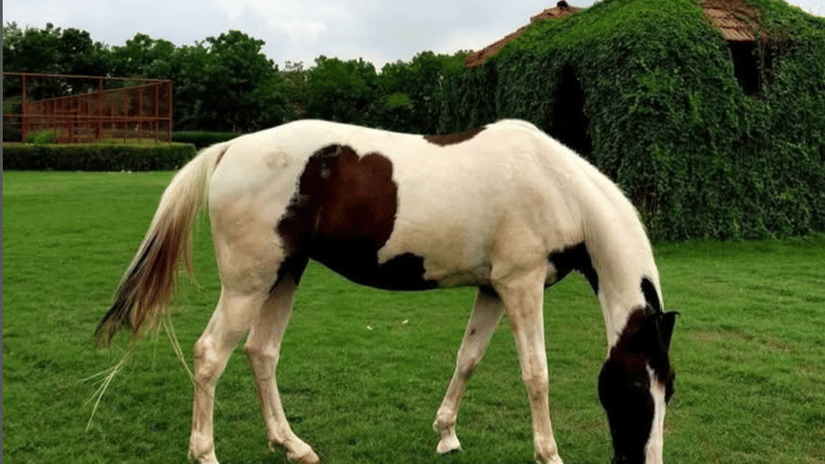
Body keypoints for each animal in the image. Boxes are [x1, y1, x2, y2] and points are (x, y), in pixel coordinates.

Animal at [94, 119, 677, 464]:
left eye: (667, 389)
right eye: (631, 388)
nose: (645, 461)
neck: (556, 184)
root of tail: (229, 148)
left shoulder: (494, 290)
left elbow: (468, 359)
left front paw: (446, 433)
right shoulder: (522, 286)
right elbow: (537, 374)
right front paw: (549, 455)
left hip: (284, 276)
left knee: (261, 353)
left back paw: (292, 445)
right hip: (247, 285)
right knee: (210, 355)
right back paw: (207, 453)